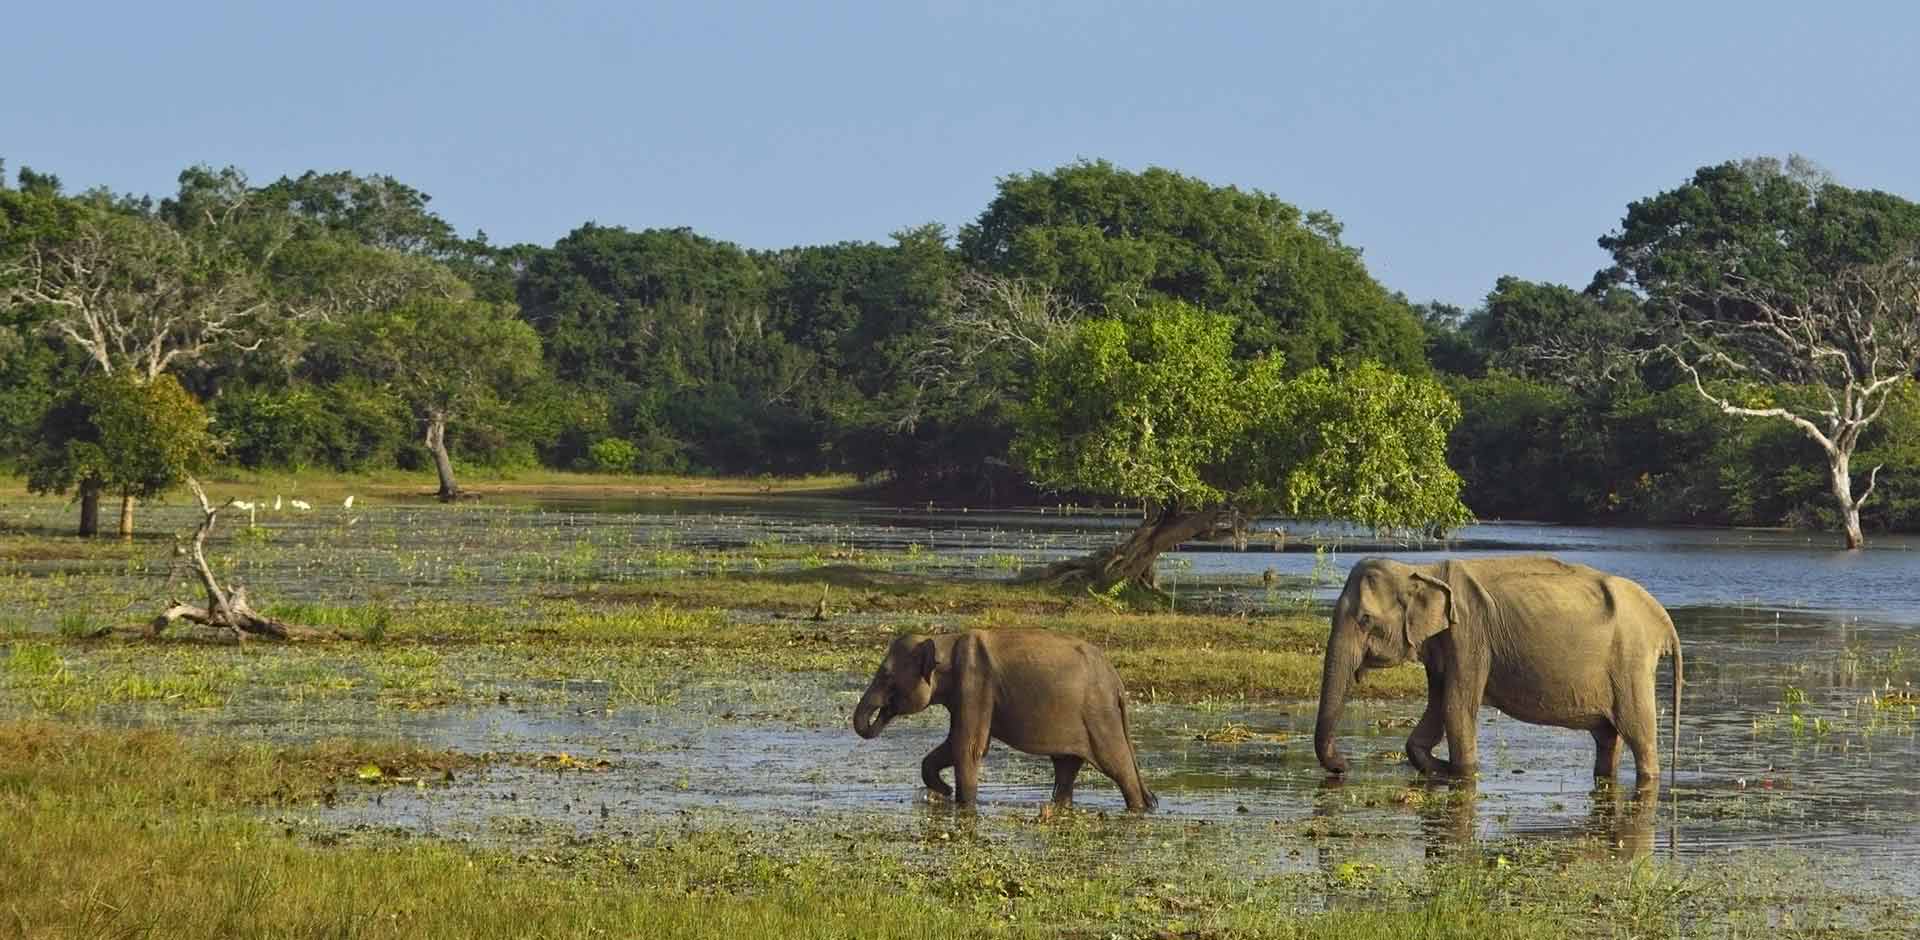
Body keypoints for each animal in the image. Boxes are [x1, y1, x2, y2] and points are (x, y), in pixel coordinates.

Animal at [856, 629, 1152, 813]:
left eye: (886, 675)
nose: (945, 791)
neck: (944, 640)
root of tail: (1117, 682)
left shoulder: (975, 685)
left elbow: (968, 747)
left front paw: (960, 801)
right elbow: (953, 746)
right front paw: (943, 791)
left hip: (1100, 716)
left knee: (1118, 765)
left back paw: (1138, 809)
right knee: (1066, 769)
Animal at [1313, 556, 1689, 786]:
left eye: (1364, 620)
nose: (1344, 766)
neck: (1420, 569)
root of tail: (1662, 619)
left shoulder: (1469, 636)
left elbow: (1455, 709)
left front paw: (1462, 771)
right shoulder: (1444, 646)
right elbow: (1436, 709)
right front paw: (1442, 770)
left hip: (1631, 663)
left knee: (1639, 734)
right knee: (1608, 737)